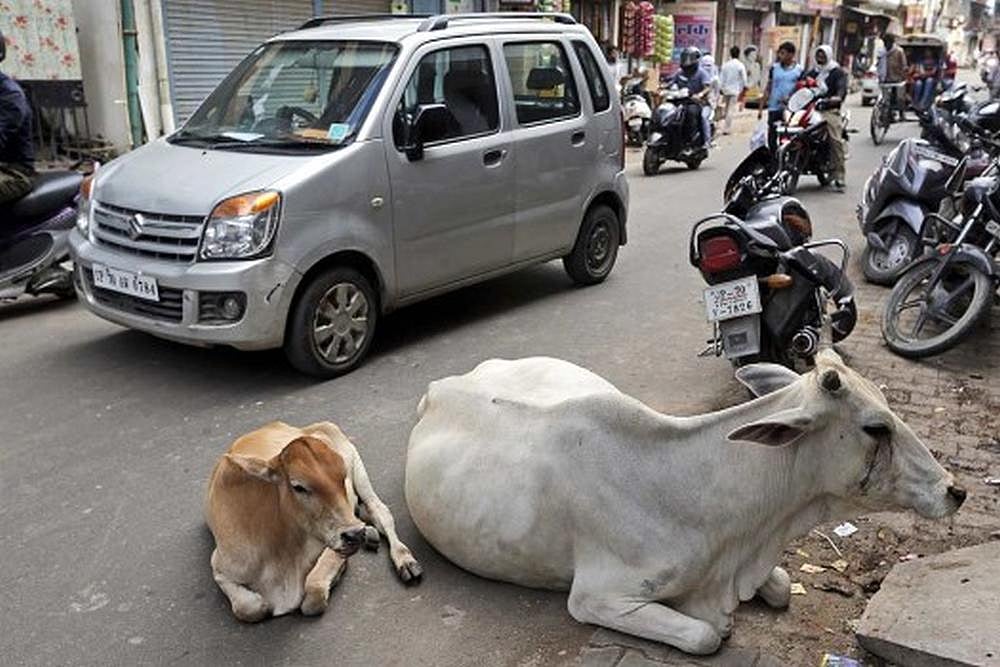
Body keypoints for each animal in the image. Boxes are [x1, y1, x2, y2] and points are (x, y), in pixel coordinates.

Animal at [206, 421, 422, 622]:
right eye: (298, 486)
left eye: (342, 477)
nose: (355, 534)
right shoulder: (219, 567)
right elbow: (250, 607)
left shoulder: (332, 544)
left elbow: (313, 597)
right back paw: (369, 534)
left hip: (358, 467)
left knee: (380, 512)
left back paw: (404, 560)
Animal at [404, 352, 965, 654]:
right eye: (876, 427)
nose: (954, 490)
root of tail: (441, 386)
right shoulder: (596, 597)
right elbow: (706, 635)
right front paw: (719, 625)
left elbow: (782, 586)